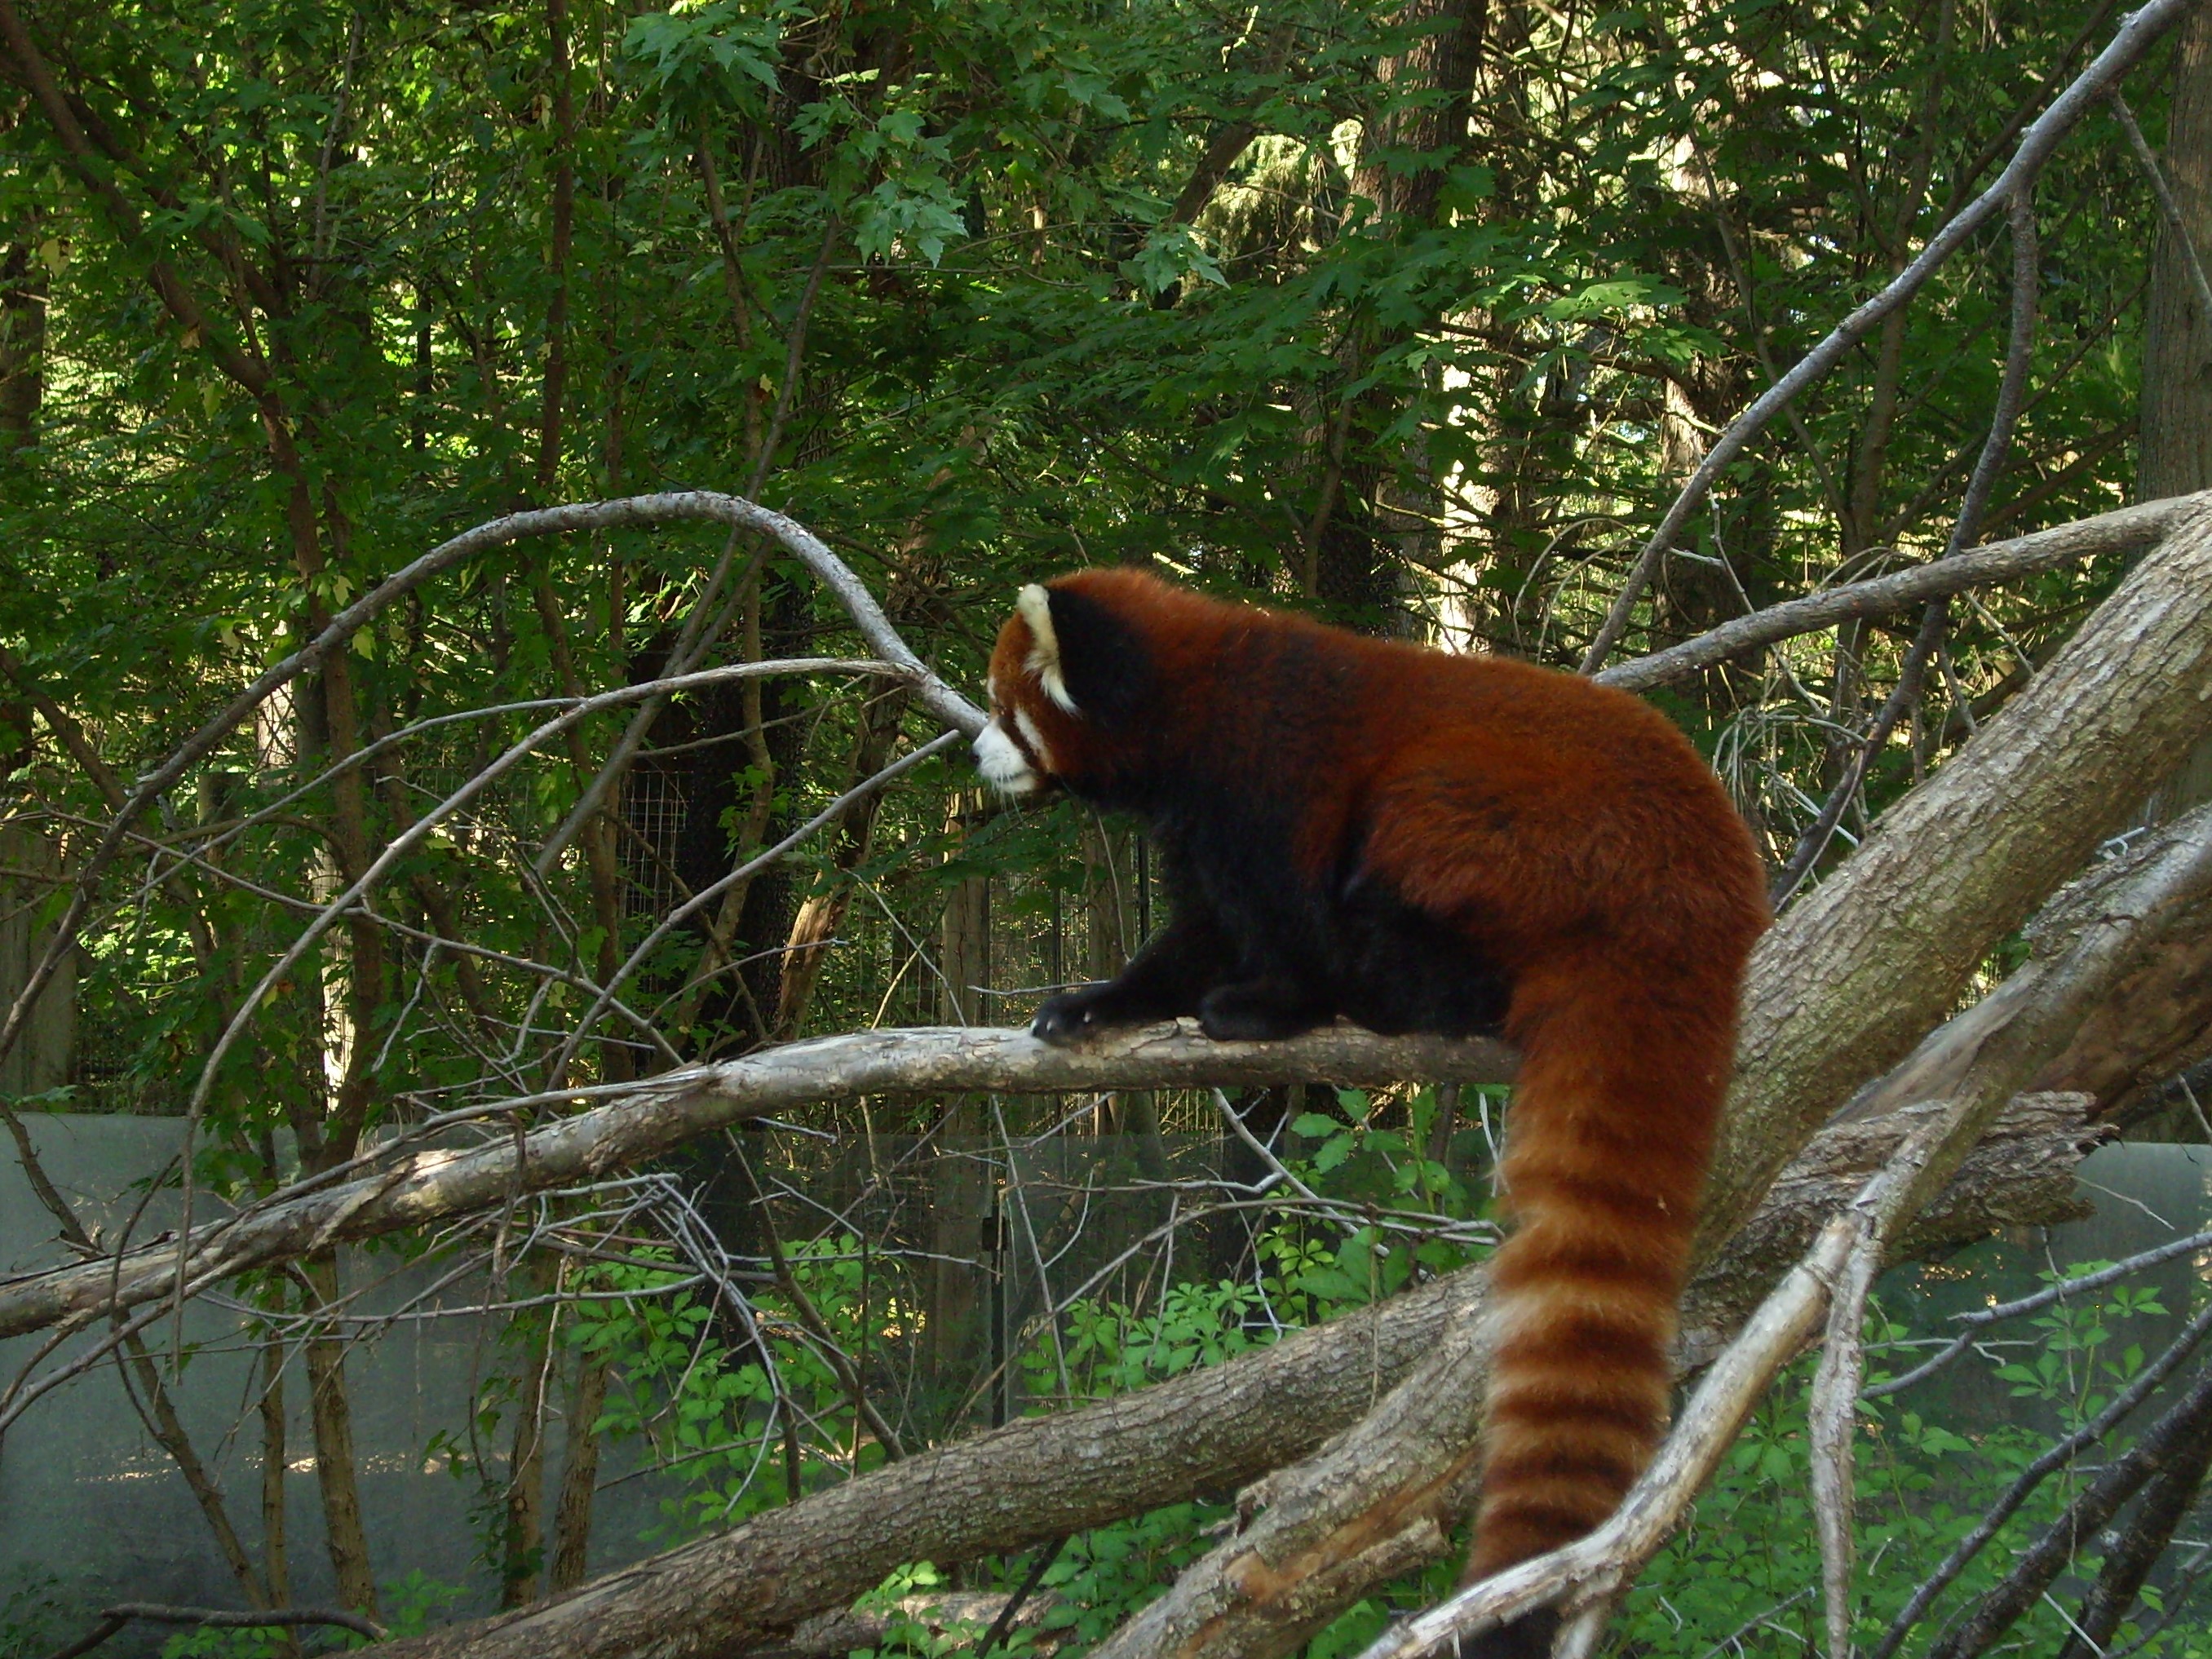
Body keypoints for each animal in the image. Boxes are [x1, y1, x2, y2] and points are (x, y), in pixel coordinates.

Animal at [977, 570, 1769, 1654]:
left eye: (1004, 708)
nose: (977, 758)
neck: (1192, 709)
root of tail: (1707, 904)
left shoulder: (1272, 782)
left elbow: (1286, 918)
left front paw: (1272, 1006)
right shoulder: (1198, 835)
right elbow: (1194, 936)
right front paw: (1100, 1005)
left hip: (1523, 822)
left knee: (1412, 837)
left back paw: (1400, 990)